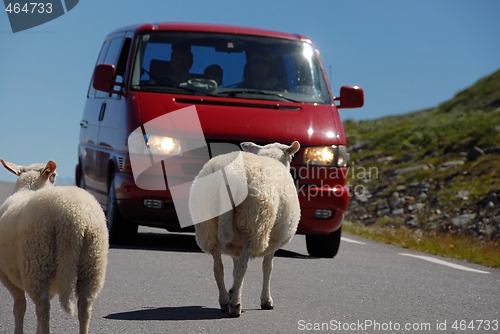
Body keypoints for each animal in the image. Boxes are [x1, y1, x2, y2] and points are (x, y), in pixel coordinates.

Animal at [0, 159, 109, 334]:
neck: (30, 186)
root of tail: (73, 219)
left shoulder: (7, 275)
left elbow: (19, 306)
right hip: (93, 262)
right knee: (85, 304)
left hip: (36, 262)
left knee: (43, 307)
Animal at [189, 140, 300, 318]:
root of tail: (229, 173)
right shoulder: (274, 240)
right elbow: (267, 267)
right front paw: (266, 300)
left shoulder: (236, 245)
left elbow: (234, 269)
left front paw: (233, 289)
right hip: (254, 225)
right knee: (243, 266)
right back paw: (235, 305)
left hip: (208, 227)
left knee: (218, 267)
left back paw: (224, 301)